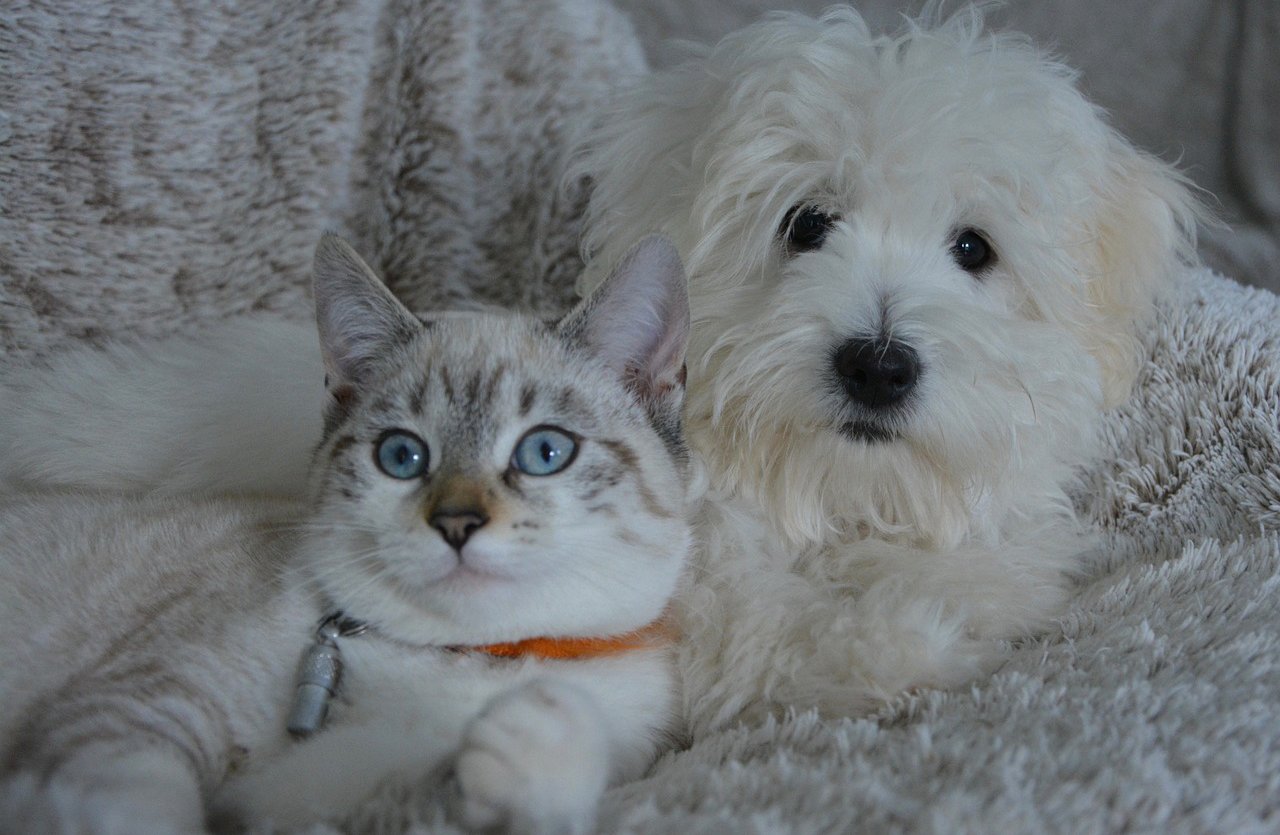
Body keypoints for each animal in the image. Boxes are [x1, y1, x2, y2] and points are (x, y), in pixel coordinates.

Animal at [0, 9, 1198, 732]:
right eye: (806, 223)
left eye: (973, 250)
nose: (878, 362)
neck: (818, 495)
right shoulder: (701, 625)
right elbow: (804, 643)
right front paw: (912, 637)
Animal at [0, 234, 691, 835]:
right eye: (402, 457)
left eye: (545, 452)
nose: (457, 523)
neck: (464, 661)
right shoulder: (137, 719)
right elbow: (139, 809)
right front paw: (537, 731)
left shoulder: (309, 811)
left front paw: (535, 740)